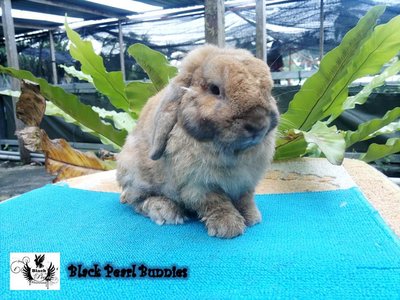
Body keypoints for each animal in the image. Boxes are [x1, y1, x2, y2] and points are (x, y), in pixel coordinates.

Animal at [115, 44, 278, 238]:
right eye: (214, 89)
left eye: (269, 90)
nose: (258, 123)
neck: (233, 151)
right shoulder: (198, 185)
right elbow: (217, 203)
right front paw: (228, 228)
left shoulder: (246, 182)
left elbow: (245, 199)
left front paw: (252, 218)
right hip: (135, 173)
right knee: (138, 201)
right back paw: (166, 212)